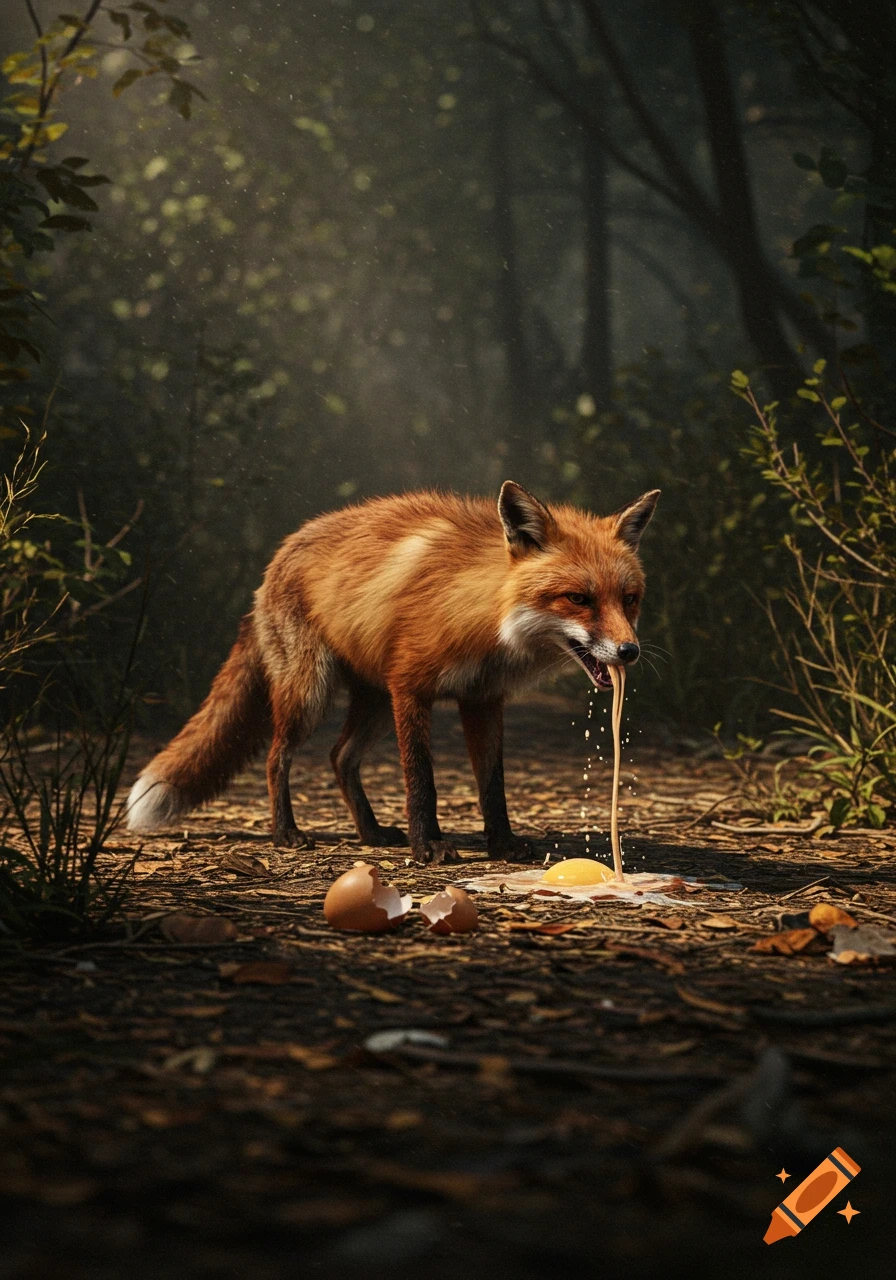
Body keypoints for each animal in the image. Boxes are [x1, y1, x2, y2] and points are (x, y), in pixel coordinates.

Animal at [126, 482, 659, 864]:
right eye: (579, 599)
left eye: (629, 599)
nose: (629, 651)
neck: (484, 614)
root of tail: (279, 554)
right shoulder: (410, 688)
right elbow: (421, 777)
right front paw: (429, 847)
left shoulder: (482, 698)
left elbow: (493, 784)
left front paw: (502, 845)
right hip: (311, 695)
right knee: (277, 758)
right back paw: (286, 834)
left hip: (374, 705)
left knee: (340, 757)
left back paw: (370, 832)